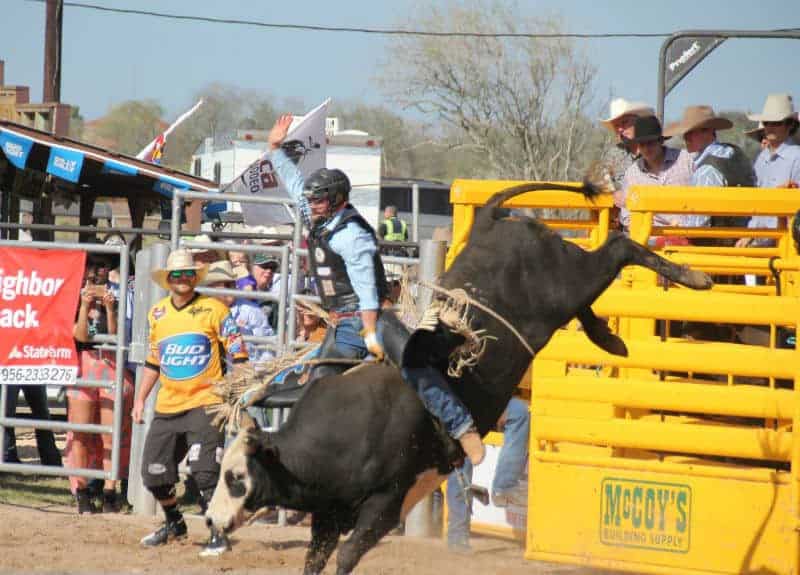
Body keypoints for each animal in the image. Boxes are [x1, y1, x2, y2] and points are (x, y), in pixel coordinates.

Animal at [206, 181, 712, 575]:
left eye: (235, 476)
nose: (210, 521)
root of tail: (491, 221)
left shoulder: (388, 501)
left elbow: (348, 555)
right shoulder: (329, 514)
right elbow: (316, 560)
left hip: (570, 278)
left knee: (619, 250)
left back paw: (693, 277)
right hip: (567, 291)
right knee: (595, 289)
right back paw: (609, 339)